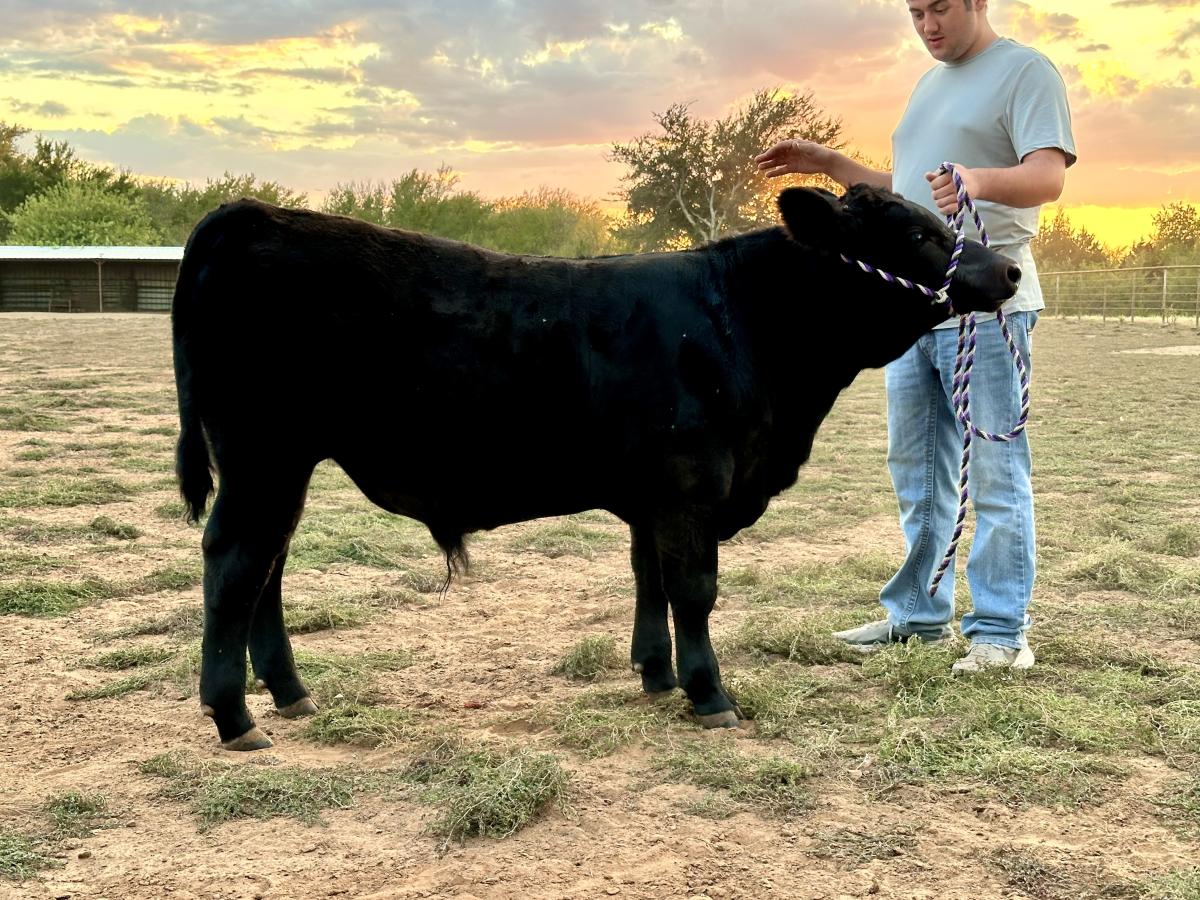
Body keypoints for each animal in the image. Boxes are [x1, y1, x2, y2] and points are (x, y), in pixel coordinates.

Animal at [172, 184, 1020, 750]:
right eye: (916, 233)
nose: (1009, 273)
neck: (744, 322)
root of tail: (250, 213)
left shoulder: (655, 494)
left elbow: (650, 579)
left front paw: (656, 673)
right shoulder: (692, 483)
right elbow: (694, 589)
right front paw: (709, 692)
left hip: (282, 465)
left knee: (268, 567)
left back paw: (289, 692)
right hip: (263, 457)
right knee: (235, 564)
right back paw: (235, 715)